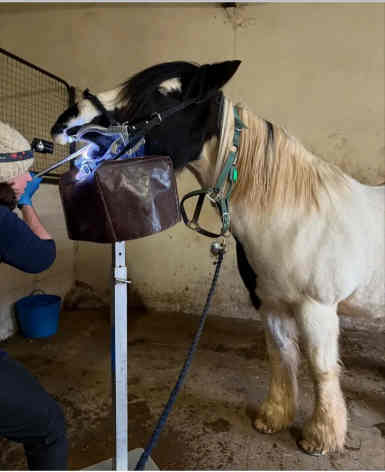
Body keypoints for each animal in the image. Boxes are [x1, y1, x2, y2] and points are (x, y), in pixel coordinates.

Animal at [51, 60, 384, 454]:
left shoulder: (316, 308)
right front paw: (274, 418)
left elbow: (321, 369)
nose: (67, 122)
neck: (294, 218)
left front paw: (321, 437)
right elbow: (281, 356)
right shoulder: (270, 304)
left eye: (164, 93)